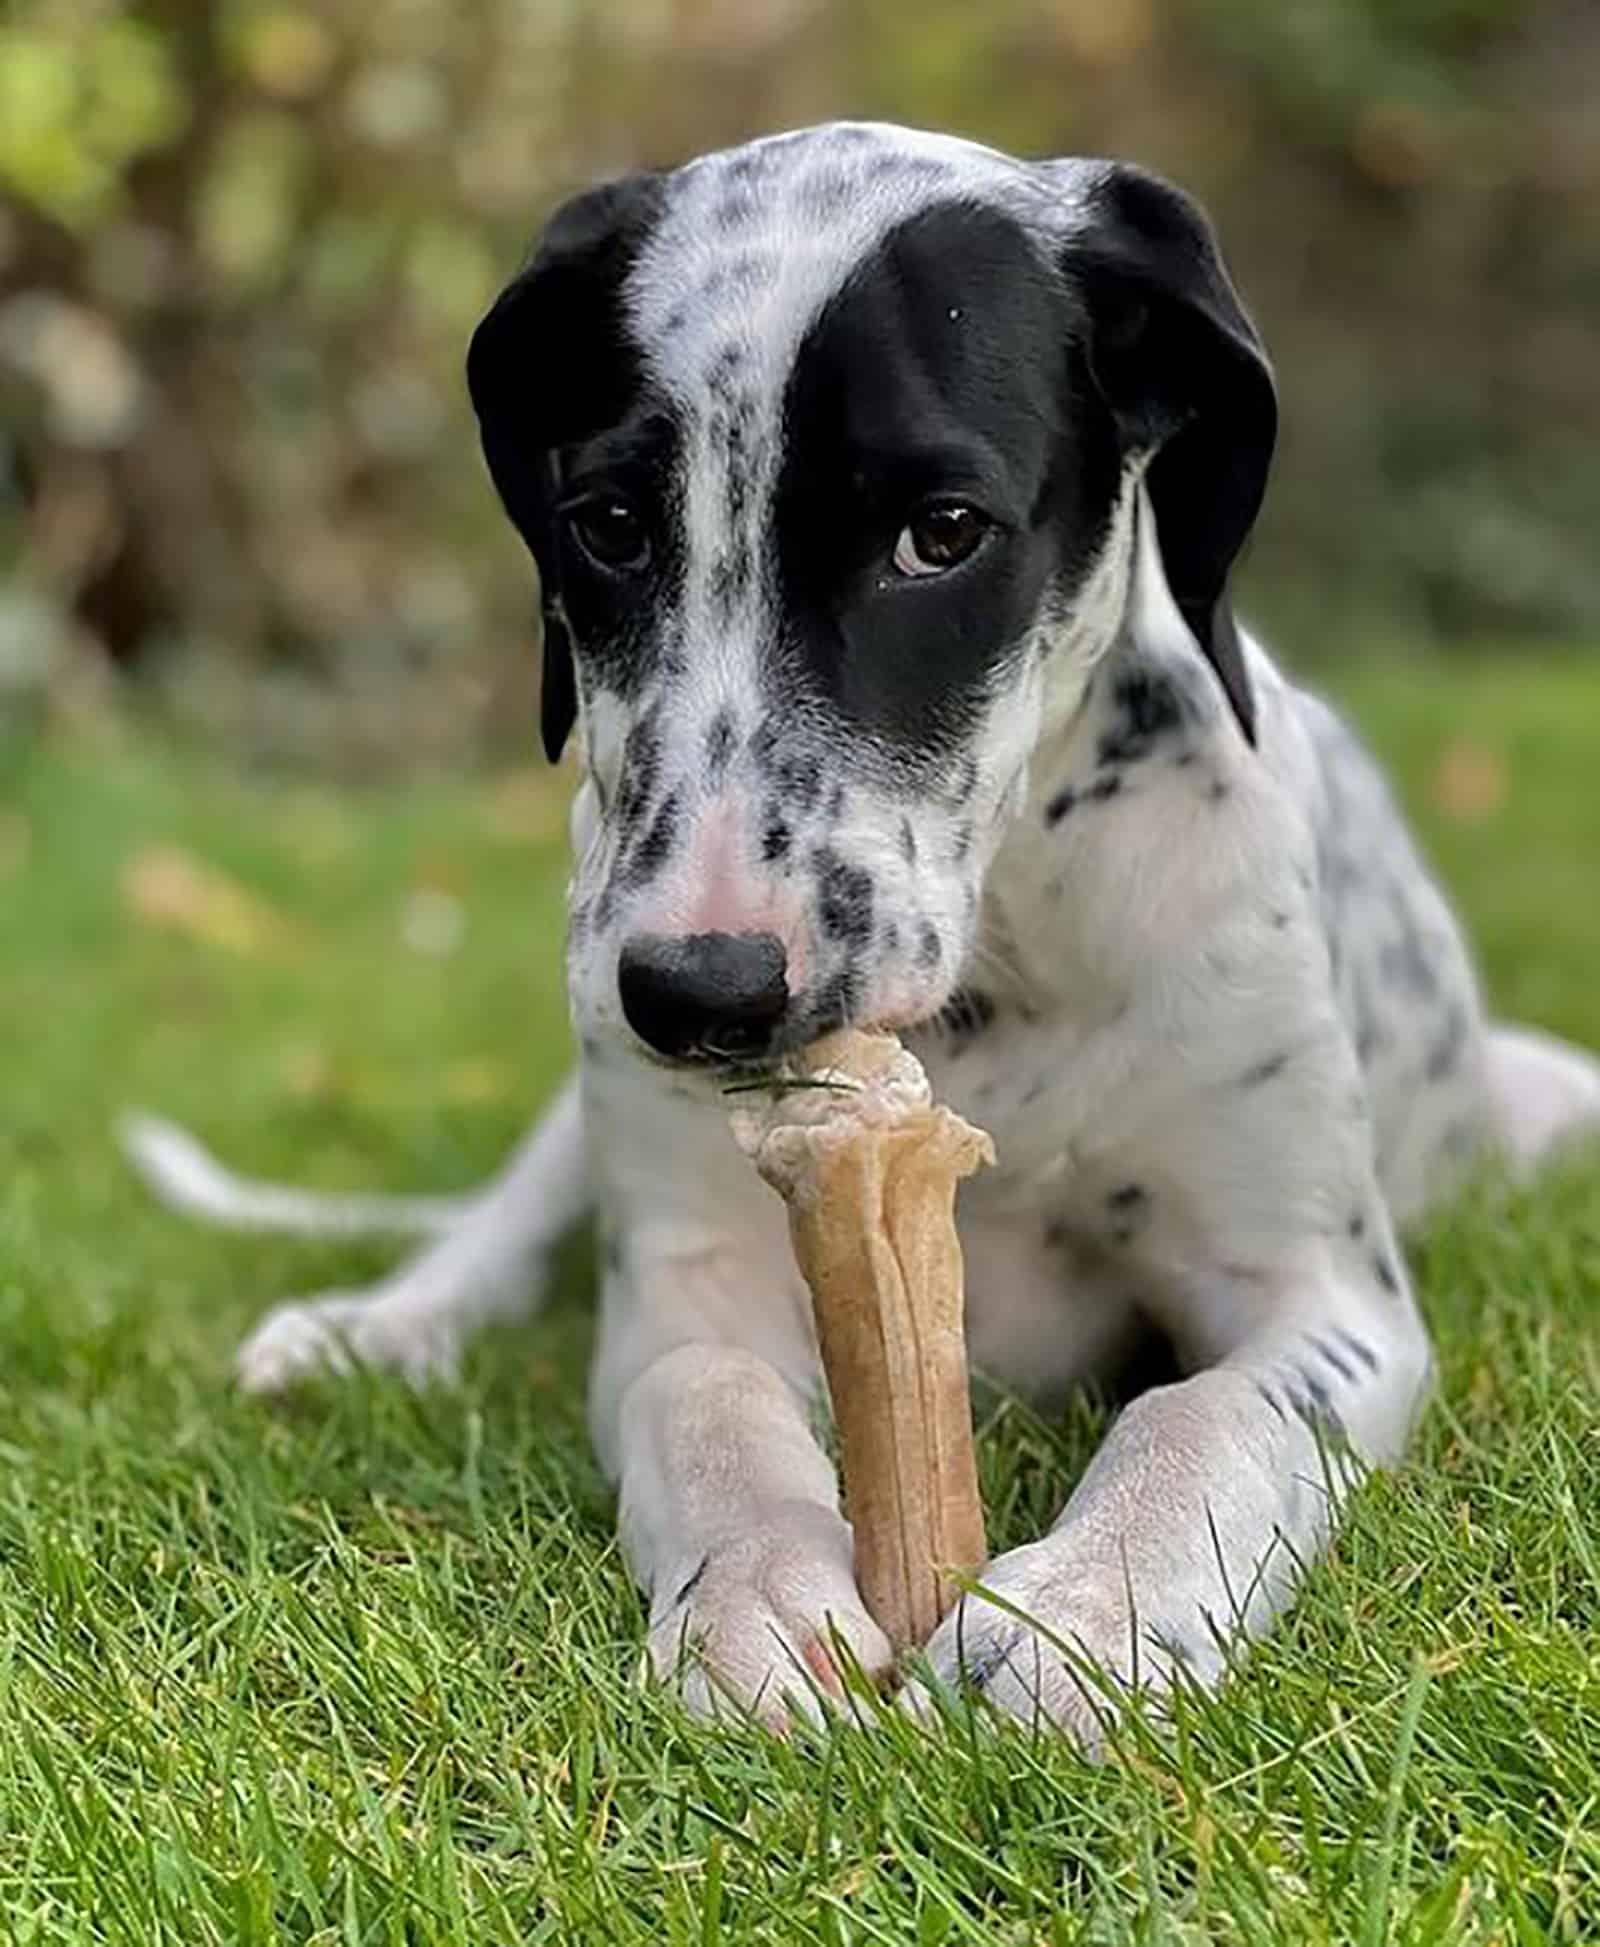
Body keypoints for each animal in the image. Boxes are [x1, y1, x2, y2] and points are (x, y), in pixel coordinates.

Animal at [128, 121, 1600, 1736]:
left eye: (940, 535)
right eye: (607, 526)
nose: (695, 991)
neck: (997, 984)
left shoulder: (1319, 1292)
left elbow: (1206, 1411)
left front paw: (1083, 1612)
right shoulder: (695, 1273)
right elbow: (706, 1403)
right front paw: (756, 1599)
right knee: (498, 1230)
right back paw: (377, 1325)